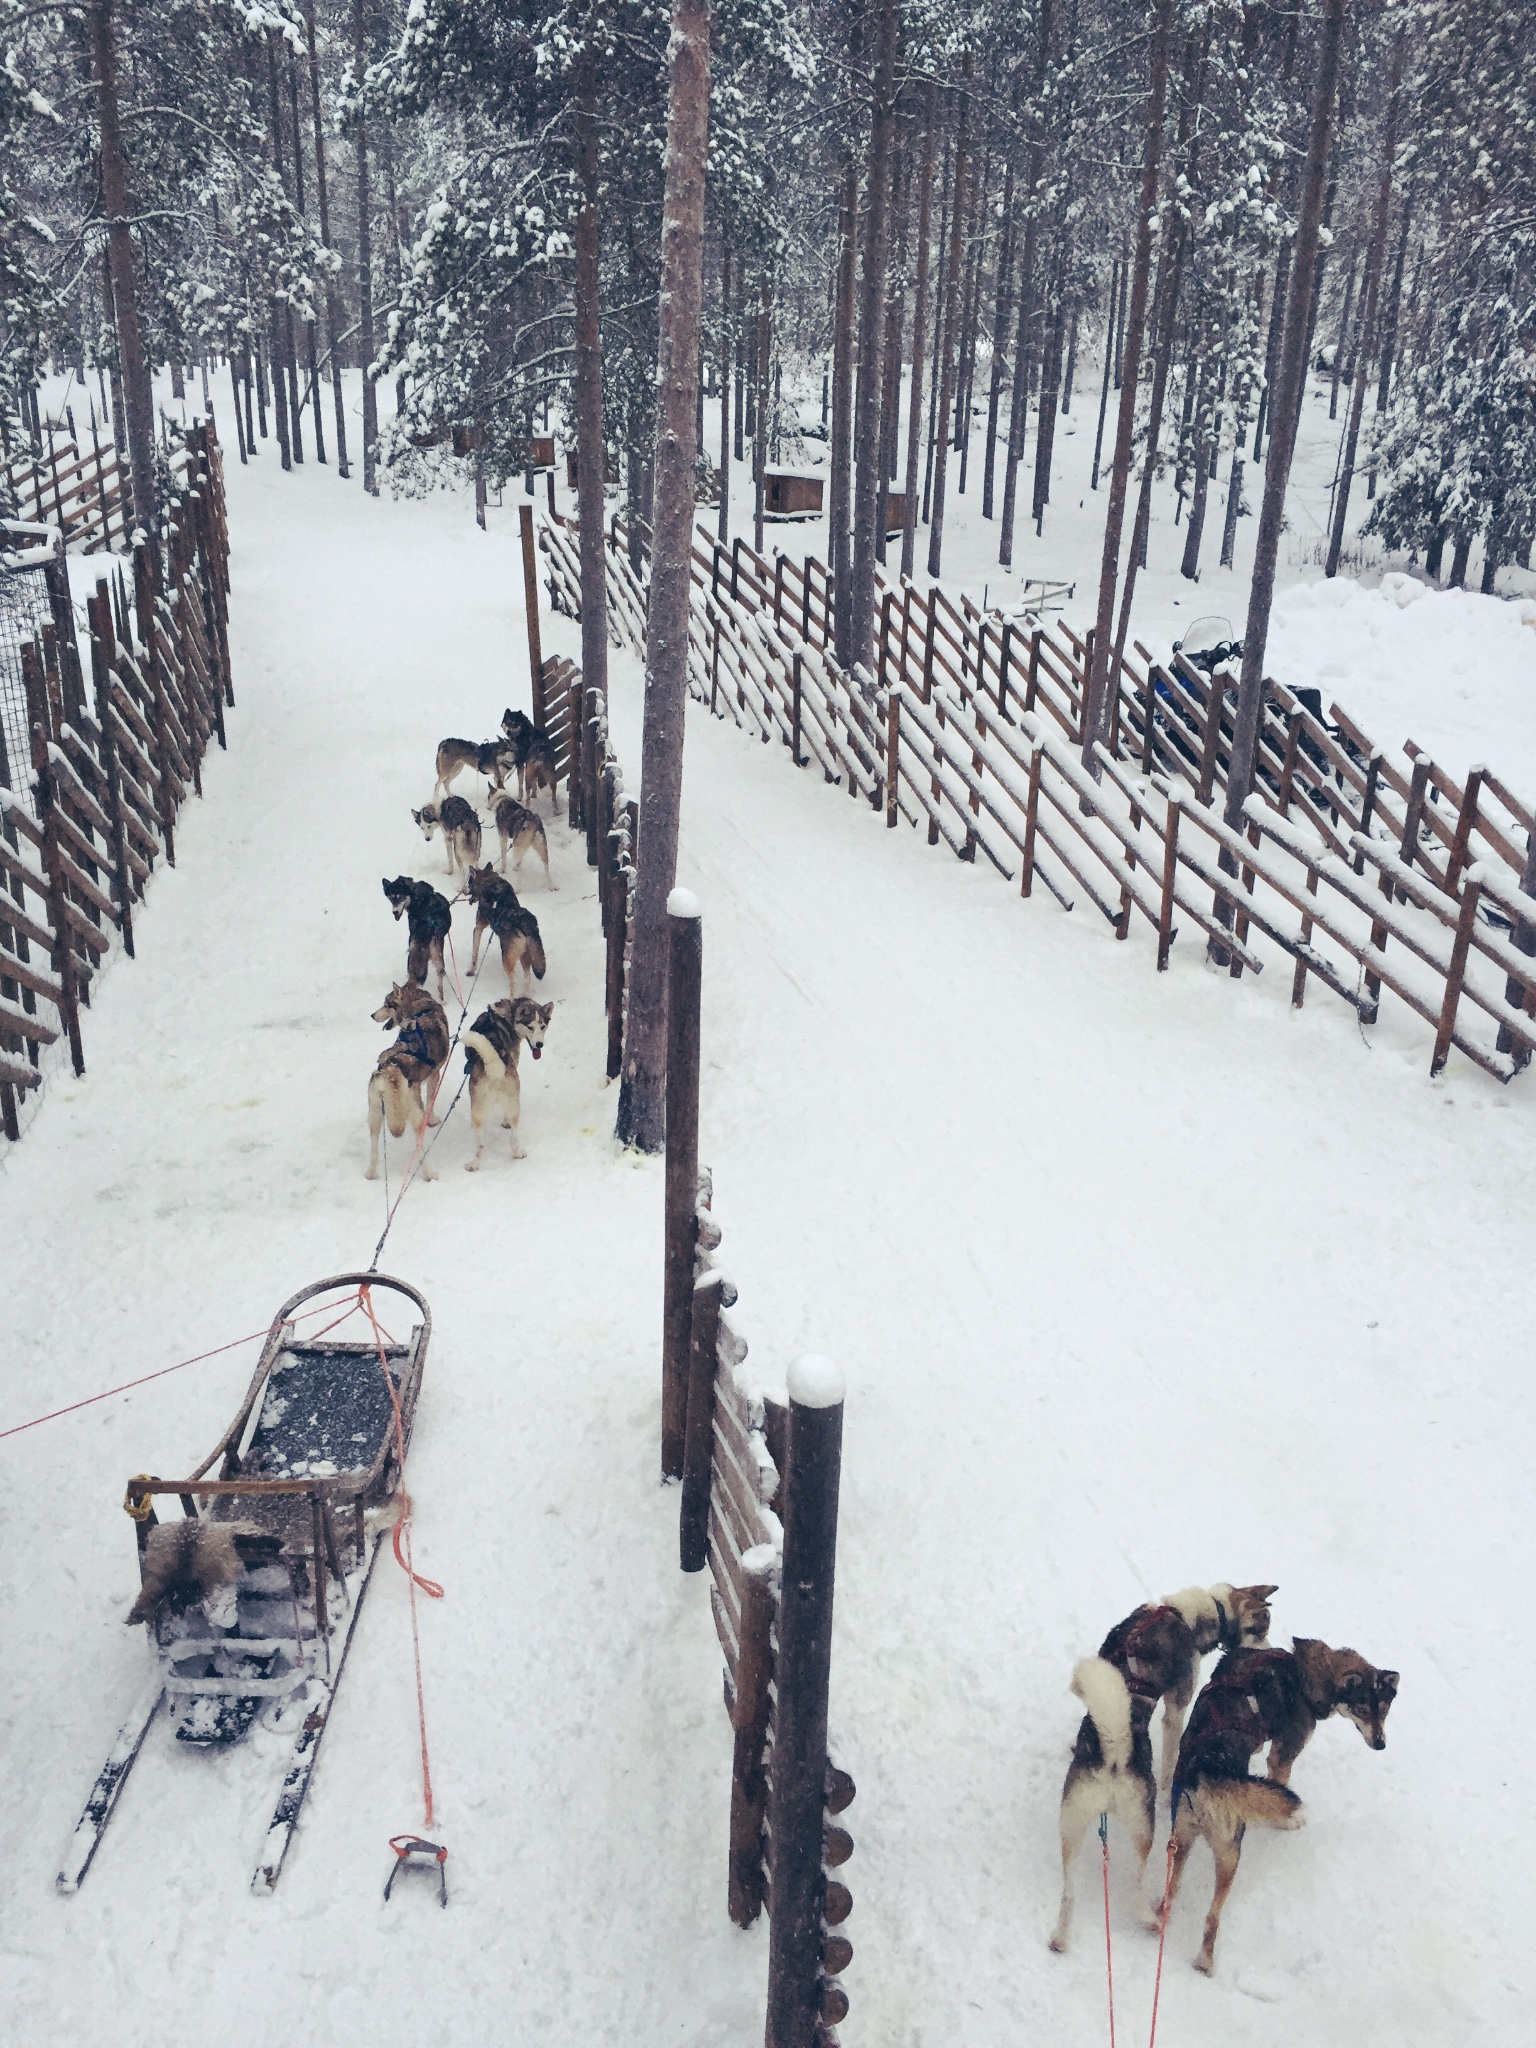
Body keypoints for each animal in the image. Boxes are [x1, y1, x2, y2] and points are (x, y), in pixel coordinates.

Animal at [366, 978, 450, 1179]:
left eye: (387, 1004)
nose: (372, 1015)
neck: (421, 1008)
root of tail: (392, 1069)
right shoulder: (434, 1075)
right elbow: (430, 1102)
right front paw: (433, 1120)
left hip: (374, 1114)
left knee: (374, 1149)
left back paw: (370, 1174)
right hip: (413, 1113)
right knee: (419, 1148)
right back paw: (429, 1173)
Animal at [462, 995, 552, 1171]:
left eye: (543, 1027)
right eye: (530, 1027)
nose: (539, 1044)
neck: (508, 1014)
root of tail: (495, 1068)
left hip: (480, 1111)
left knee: (482, 1144)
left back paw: (474, 1165)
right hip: (513, 1105)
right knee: (512, 1139)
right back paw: (517, 1154)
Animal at [1056, 1581, 1277, 1949]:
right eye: (1261, 1629)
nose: (1271, 1652)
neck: (1193, 1612)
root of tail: (1114, 1756)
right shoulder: (1177, 1708)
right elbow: (1173, 1751)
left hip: (1071, 1825)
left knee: (1069, 1890)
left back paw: (1059, 1937)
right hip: (1144, 1833)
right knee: (1137, 1884)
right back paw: (1149, 1918)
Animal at [1163, 1630, 1409, 1966]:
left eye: (1383, 1710)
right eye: (1361, 1708)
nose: (1381, 1744)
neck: (1299, 1673)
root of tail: (1209, 1774)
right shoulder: (1282, 1758)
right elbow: (1280, 1791)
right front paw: (1289, 1821)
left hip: (1183, 1843)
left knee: (1171, 1893)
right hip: (1229, 1858)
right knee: (1212, 1917)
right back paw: (1205, 1962)